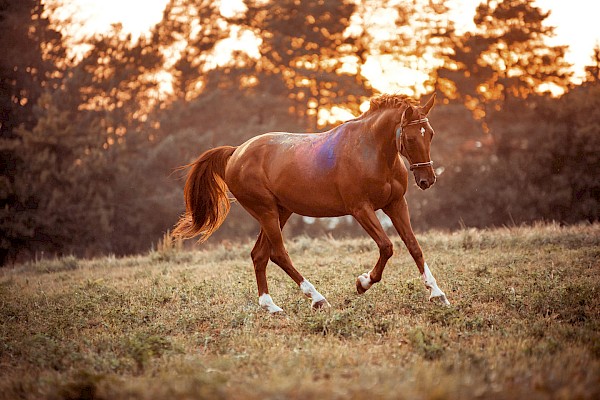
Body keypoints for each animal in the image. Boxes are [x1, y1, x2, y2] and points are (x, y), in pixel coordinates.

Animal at [173, 93, 450, 312]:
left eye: (430, 134)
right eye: (411, 138)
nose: (427, 179)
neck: (371, 151)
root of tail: (236, 152)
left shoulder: (396, 204)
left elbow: (414, 247)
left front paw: (437, 294)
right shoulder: (361, 209)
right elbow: (386, 246)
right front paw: (362, 283)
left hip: (280, 212)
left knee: (259, 255)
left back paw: (270, 306)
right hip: (266, 212)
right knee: (278, 254)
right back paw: (317, 298)